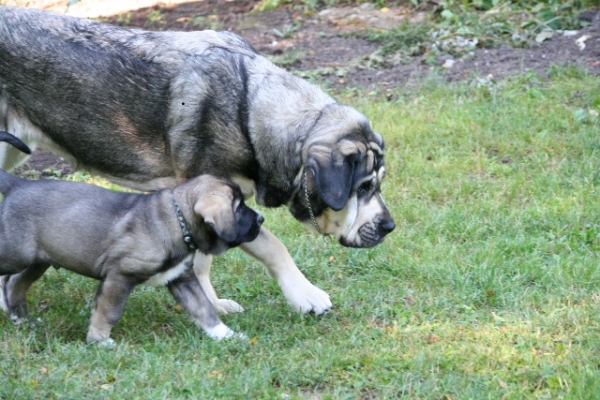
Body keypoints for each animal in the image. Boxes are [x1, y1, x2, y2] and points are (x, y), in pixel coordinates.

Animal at [0, 5, 396, 316]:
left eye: (377, 184)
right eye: (362, 187)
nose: (389, 227)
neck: (249, 114)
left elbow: (204, 261)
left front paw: (212, 303)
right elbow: (272, 246)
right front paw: (305, 295)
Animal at [0, 131, 262, 344]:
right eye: (238, 208)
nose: (261, 219)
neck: (177, 221)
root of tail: (18, 184)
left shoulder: (182, 279)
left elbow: (204, 309)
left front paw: (227, 335)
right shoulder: (119, 277)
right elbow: (108, 312)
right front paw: (99, 340)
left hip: (37, 261)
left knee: (15, 284)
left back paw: (22, 320)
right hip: (15, 254)